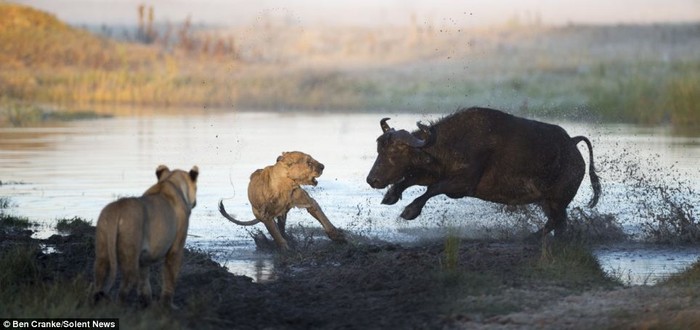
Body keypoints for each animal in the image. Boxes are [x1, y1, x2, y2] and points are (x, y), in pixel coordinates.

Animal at [366, 107, 600, 236]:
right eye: (379, 149)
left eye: (395, 152)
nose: (372, 180)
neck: (455, 142)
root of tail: (572, 143)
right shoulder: (435, 172)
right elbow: (411, 179)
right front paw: (391, 195)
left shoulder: (462, 185)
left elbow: (432, 189)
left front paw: (409, 211)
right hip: (547, 201)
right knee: (558, 223)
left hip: (558, 200)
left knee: (556, 222)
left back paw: (530, 238)